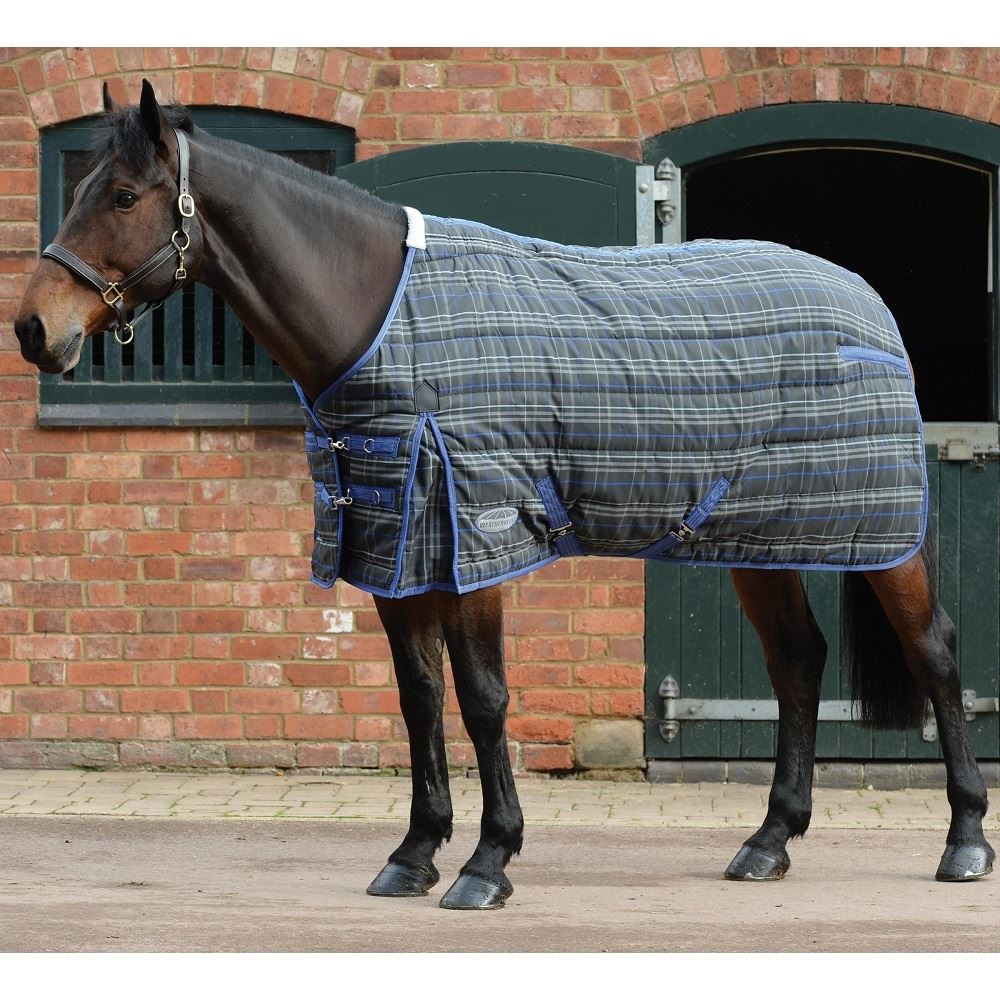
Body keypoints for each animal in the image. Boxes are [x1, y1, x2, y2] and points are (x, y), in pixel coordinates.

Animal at [13, 80, 994, 909]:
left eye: (123, 197)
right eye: (79, 186)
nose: (32, 329)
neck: (383, 316)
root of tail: (864, 297)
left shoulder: (475, 537)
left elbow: (484, 697)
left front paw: (488, 862)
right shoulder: (393, 550)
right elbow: (419, 699)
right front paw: (413, 854)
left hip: (884, 538)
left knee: (936, 655)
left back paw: (963, 842)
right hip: (757, 538)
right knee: (797, 662)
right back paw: (768, 843)